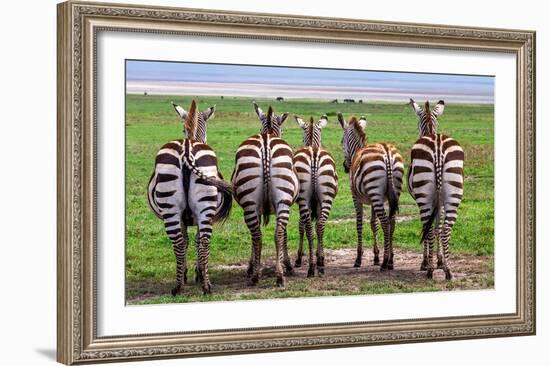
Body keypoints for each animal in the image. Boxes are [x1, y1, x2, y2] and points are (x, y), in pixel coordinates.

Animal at [148, 100, 232, 294]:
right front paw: (195, 273)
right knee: (203, 241)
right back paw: (205, 285)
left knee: (182, 242)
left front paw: (191, 273)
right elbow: (193, 241)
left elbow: (189, 241)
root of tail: (187, 149)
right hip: (201, 208)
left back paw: (181, 285)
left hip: (175, 209)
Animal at [232, 101, 300, 288]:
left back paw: (257, 275)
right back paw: (279, 275)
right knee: (277, 233)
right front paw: (286, 264)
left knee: (258, 235)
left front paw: (251, 266)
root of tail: (266, 141)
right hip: (281, 199)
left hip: (251, 204)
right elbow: (284, 235)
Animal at [296, 114, 338, 278]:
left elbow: (300, 226)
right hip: (327, 197)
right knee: (320, 224)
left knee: (308, 226)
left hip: (304, 199)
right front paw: (319, 255)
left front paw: (299, 258)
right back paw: (319, 265)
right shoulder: (316, 203)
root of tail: (313, 153)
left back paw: (312, 266)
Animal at [336, 113, 406, 270]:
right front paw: (376, 256)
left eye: (342, 142)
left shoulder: (356, 198)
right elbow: (374, 224)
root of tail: (386, 152)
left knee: (385, 222)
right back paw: (390, 260)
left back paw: (385, 262)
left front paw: (358, 258)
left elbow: (359, 224)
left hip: (375, 192)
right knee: (392, 222)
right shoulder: (373, 200)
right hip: (390, 192)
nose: (345, 167)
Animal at [408, 98, 464, 278]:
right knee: (446, 229)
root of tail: (438, 145)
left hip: (424, 197)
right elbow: (438, 226)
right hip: (454, 193)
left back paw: (430, 270)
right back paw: (448, 270)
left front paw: (426, 262)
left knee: (429, 229)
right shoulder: (440, 203)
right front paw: (440, 261)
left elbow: (429, 228)